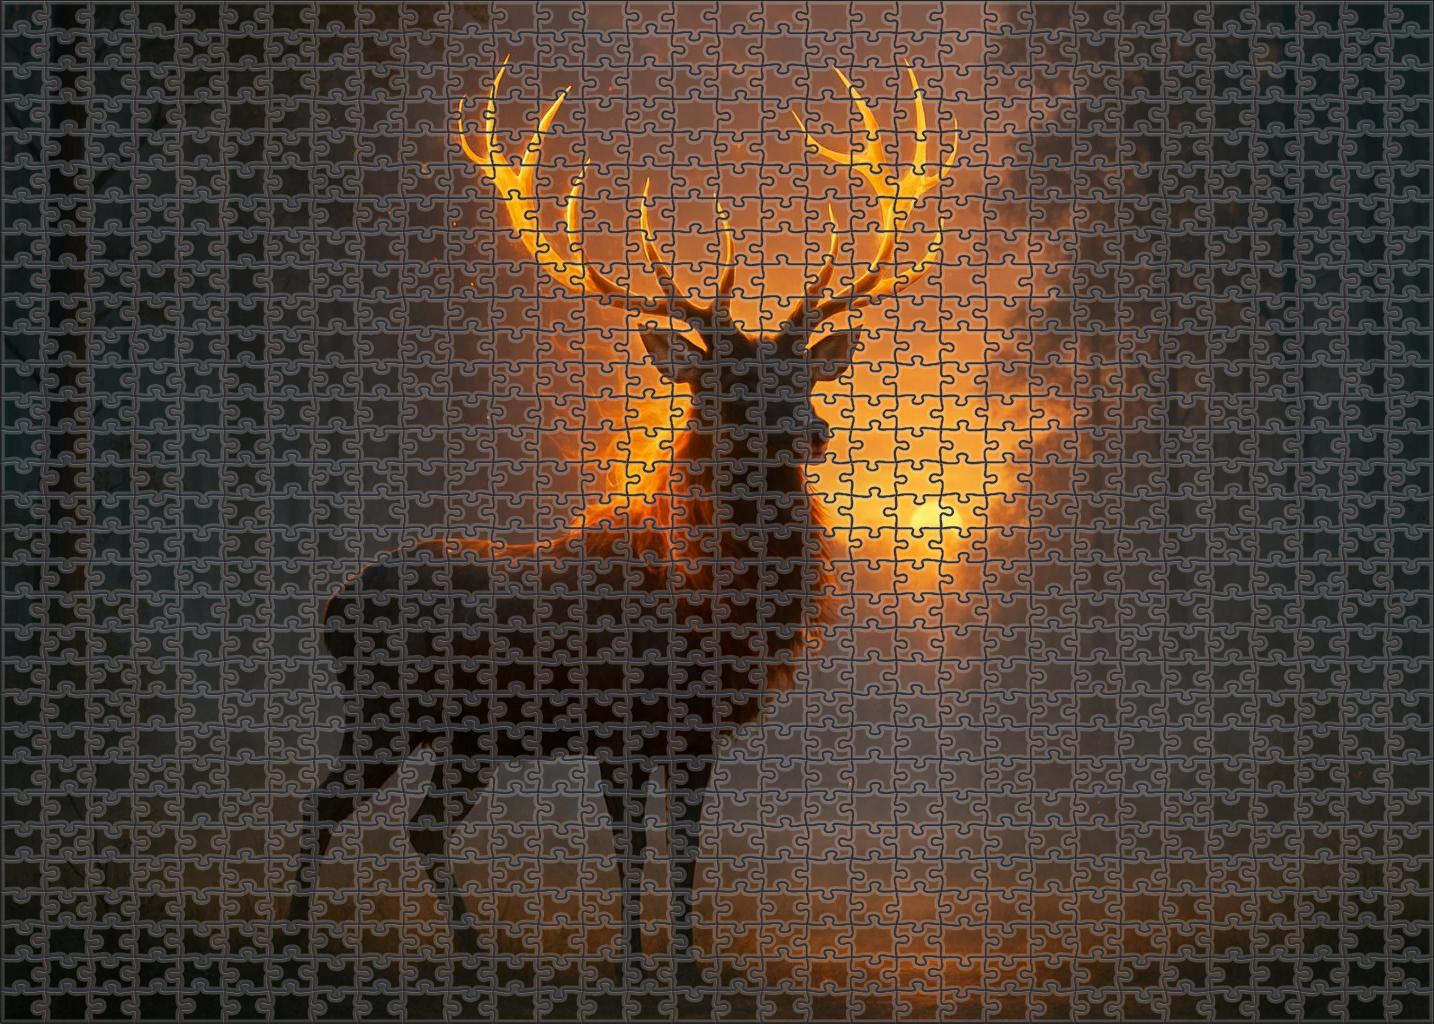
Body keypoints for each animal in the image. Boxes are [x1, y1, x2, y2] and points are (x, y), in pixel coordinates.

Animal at [285, 61, 953, 980]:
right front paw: (635, 964)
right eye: (726, 384)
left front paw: (687, 965)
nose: (816, 433)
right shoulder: (620, 722)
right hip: (388, 708)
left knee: (420, 825)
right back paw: (293, 941)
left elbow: (683, 852)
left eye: (804, 378)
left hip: (466, 734)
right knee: (322, 806)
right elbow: (631, 850)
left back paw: (474, 951)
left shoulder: (697, 732)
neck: (707, 602)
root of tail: (331, 605)